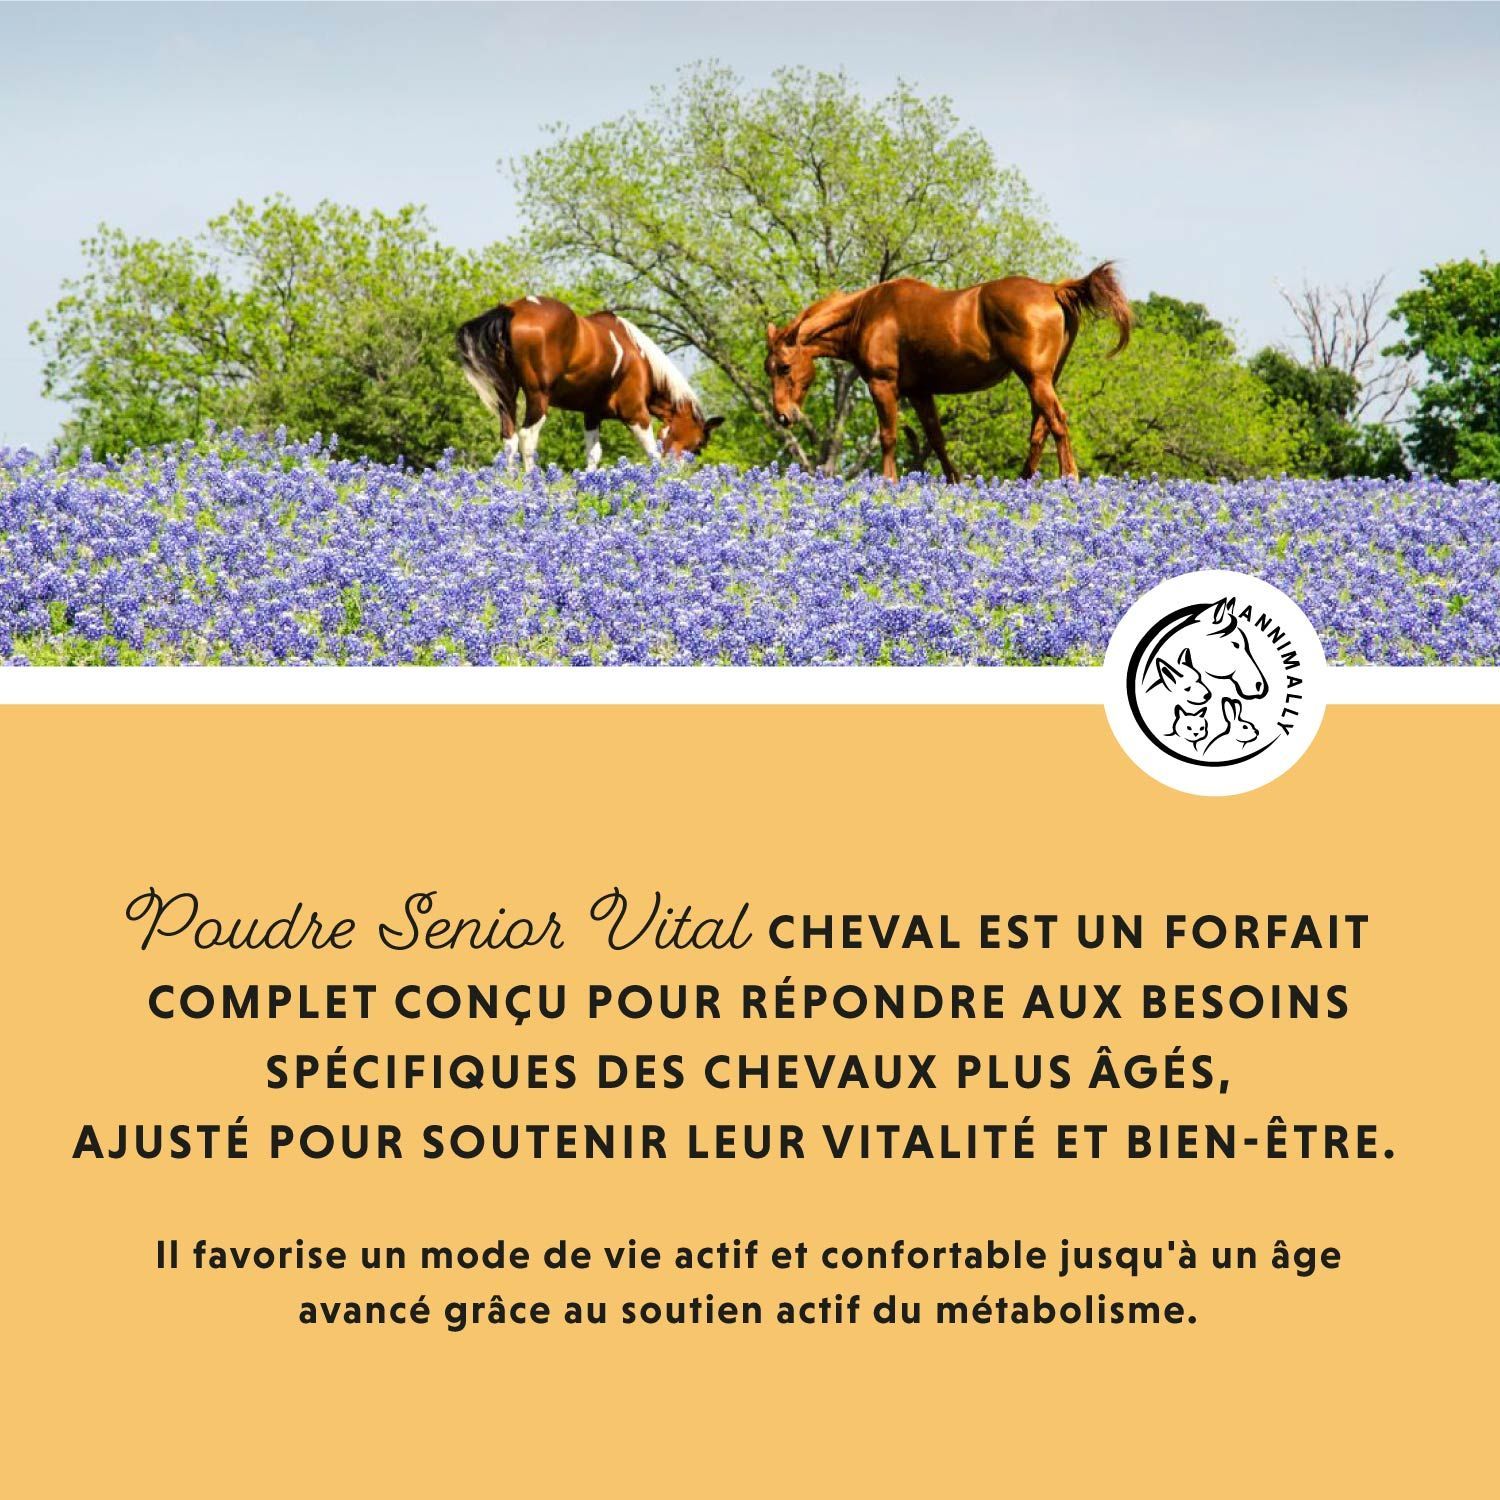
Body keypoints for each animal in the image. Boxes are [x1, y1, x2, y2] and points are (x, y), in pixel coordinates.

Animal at [457, 296, 722, 472]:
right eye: (699, 444)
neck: (640, 360)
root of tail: (511, 310)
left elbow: (594, 454)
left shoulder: (592, 414)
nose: (681, 470)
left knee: (509, 438)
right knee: (527, 437)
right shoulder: (635, 413)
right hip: (537, 397)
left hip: (506, 393)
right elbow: (651, 452)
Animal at [764, 263, 1132, 481]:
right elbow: (936, 439)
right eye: (768, 369)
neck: (866, 313)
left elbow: (888, 437)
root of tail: (1053, 290)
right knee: (1039, 429)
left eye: (784, 366)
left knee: (1056, 421)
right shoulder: (919, 392)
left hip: (1035, 379)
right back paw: (1024, 481)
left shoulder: (883, 385)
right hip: (1044, 380)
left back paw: (1069, 478)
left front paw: (888, 482)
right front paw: (954, 481)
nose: (783, 415)